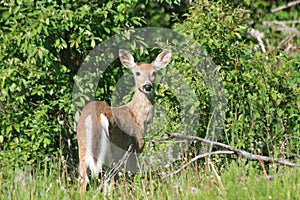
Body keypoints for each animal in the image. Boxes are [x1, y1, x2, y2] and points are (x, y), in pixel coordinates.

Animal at [76, 48, 172, 194]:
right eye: (137, 73)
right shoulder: (136, 147)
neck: (138, 118)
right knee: (107, 179)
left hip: (83, 145)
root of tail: (96, 115)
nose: (147, 86)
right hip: (113, 146)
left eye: (154, 72)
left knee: (85, 178)